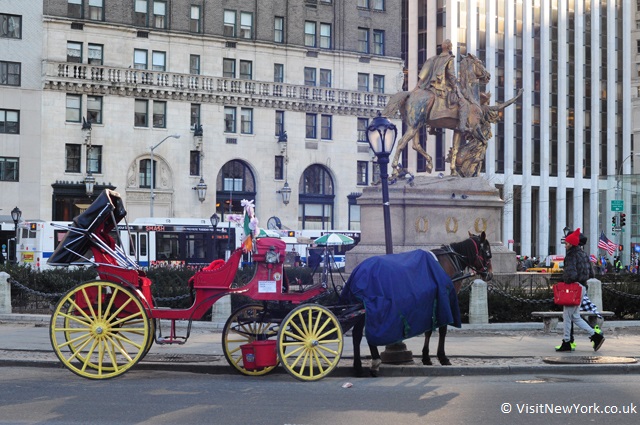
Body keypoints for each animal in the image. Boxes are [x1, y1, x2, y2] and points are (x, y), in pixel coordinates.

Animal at [343, 231, 493, 377]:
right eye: (488, 253)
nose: (490, 274)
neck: (449, 261)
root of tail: (358, 271)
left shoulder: (431, 300)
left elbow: (428, 329)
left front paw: (426, 357)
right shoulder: (443, 299)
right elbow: (442, 329)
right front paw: (441, 357)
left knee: (357, 334)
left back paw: (360, 366)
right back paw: (371, 362)